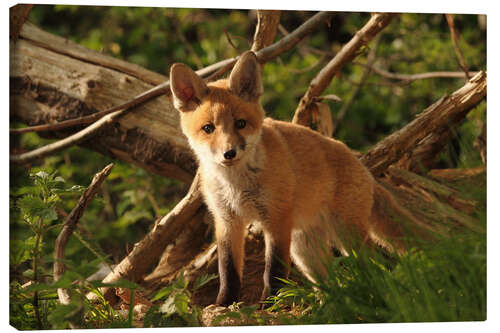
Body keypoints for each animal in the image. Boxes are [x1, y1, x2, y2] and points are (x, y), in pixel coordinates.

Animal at [172, 50, 414, 304]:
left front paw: (269, 304)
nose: (229, 153)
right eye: (208, 128)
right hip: (305, 250)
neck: (236, 184)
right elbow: (228, 271)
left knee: (376, 264)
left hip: (345, 234)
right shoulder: (227, 221)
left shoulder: (277, 218)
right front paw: (224, 304)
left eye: (240, 124)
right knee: (331, 282)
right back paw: (327, 305)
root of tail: (362, 166)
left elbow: (274, 271)